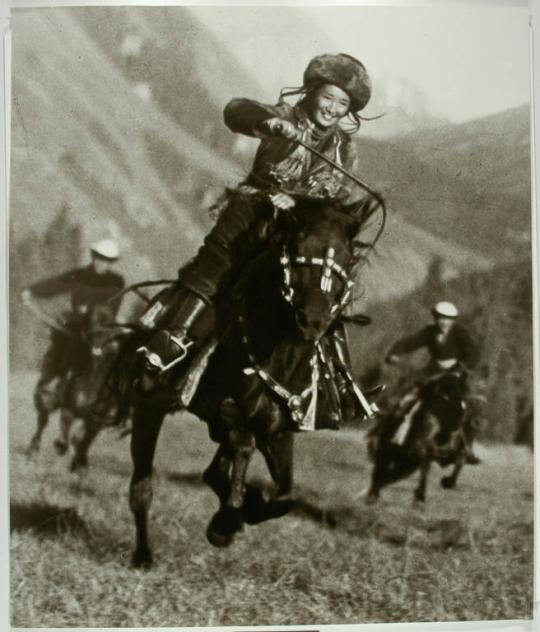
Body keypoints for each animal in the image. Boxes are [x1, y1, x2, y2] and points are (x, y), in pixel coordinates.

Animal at [113, 194, 384, 568]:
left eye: (345, 255)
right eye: (299, 247)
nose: (313, 320)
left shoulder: (280, 429)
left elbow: (285, 495)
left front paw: (246, 507)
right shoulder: (226, 411)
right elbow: (241, 447)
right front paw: (225, 523)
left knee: (218, 468)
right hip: (149, 406)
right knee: (142, 488)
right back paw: (144, 554)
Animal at [362, 368, 480, 506]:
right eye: (444, 398)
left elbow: (459, 460)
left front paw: (446, 482)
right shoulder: (424, 450)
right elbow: (428, 465)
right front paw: (421, 496)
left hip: (403, 462)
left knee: (385, 475)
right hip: (394, 455)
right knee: (381, 473)